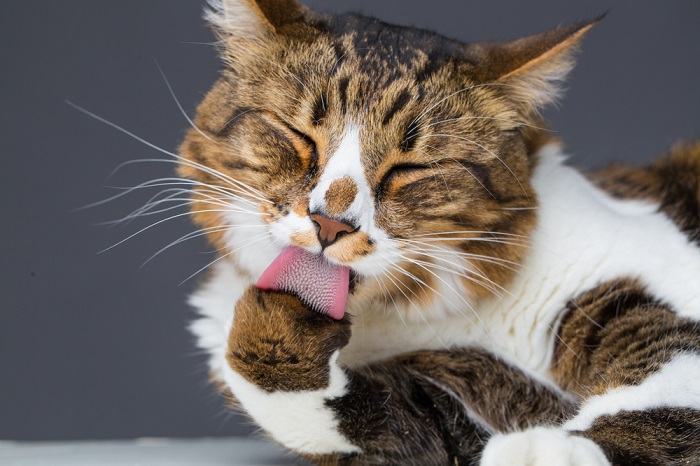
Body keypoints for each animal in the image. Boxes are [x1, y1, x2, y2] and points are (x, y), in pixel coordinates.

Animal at [182, 1, 700, 464]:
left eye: (410, 168)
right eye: (298, 135)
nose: (330, 223)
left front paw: (549, 450)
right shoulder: (438, 411)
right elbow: (399, 421)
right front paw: (279, 323)